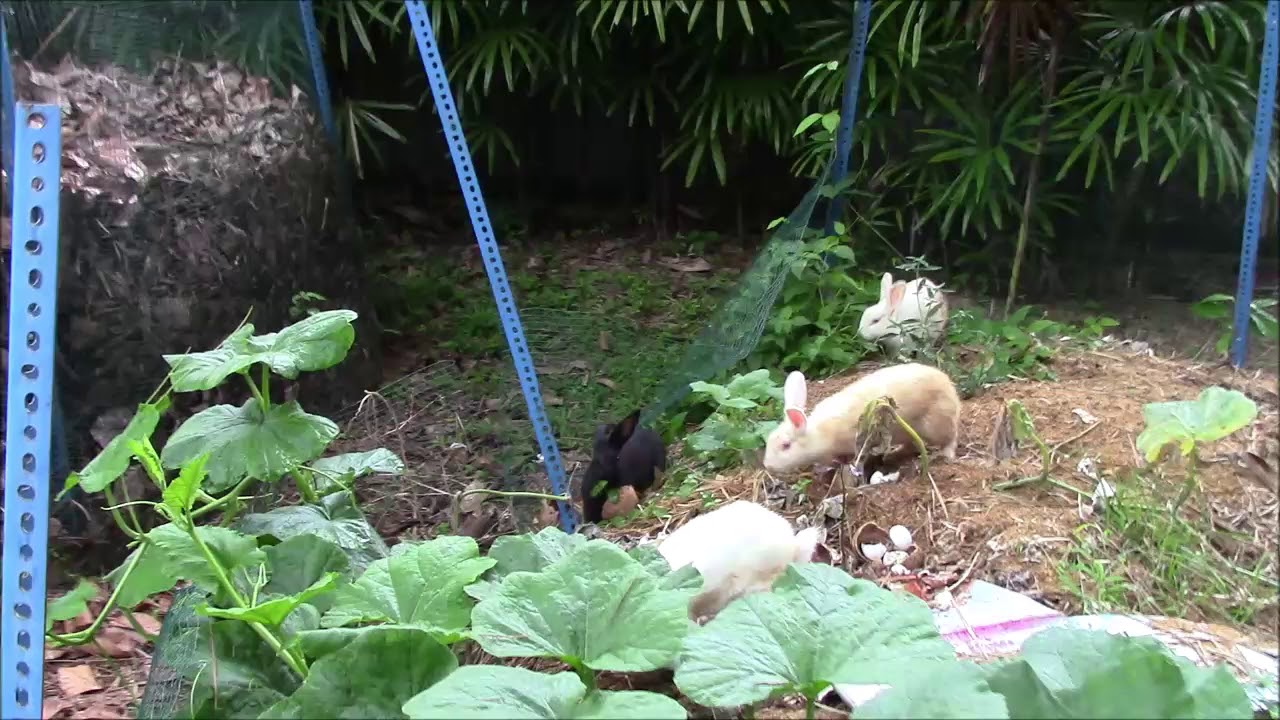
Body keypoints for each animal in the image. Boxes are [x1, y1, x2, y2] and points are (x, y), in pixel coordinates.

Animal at [762, 363, 960, 475]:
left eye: (786, 446)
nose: (768, 466)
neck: (819, 434)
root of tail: (949, 386)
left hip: (935, 424)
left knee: (950, 438)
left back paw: (944, 455)